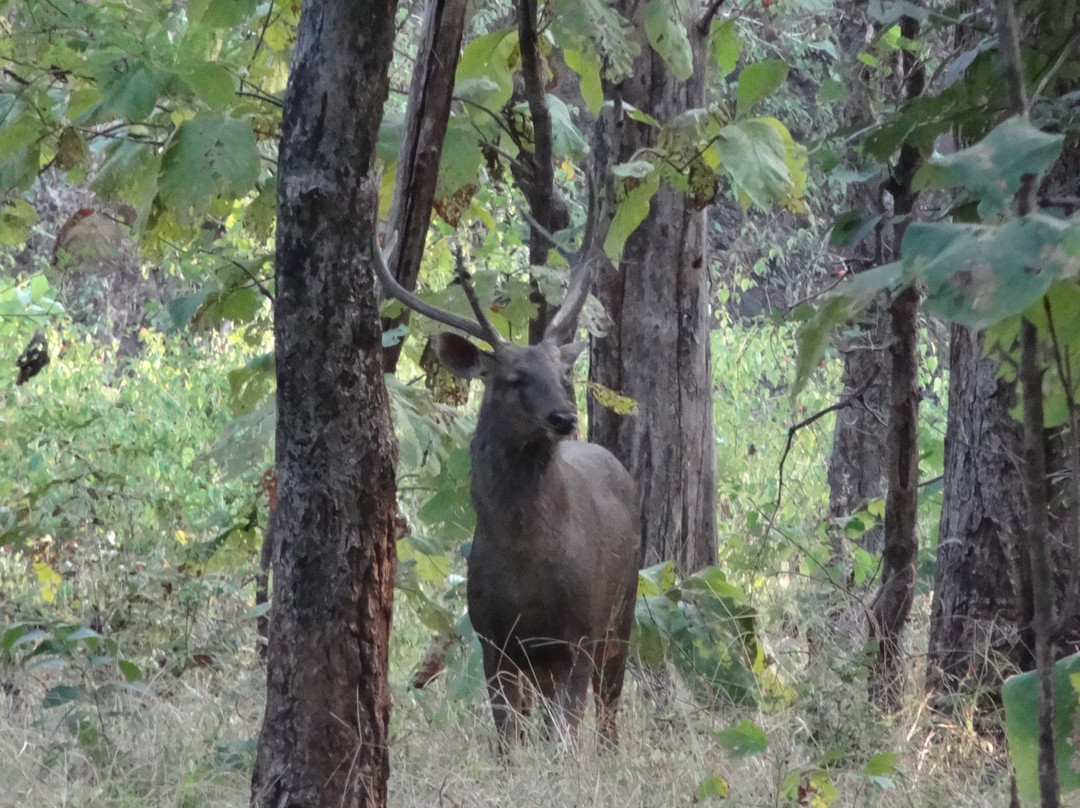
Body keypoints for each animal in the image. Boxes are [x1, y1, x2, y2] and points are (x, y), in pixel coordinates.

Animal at [373, 211, 639, 747]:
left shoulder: (581, 629)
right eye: (513, 378)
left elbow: (565, 734)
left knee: (607, 712)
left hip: (623, 611)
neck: (526, 560)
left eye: (563, 373)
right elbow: (507, 738)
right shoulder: (492, 638)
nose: (565, 417)